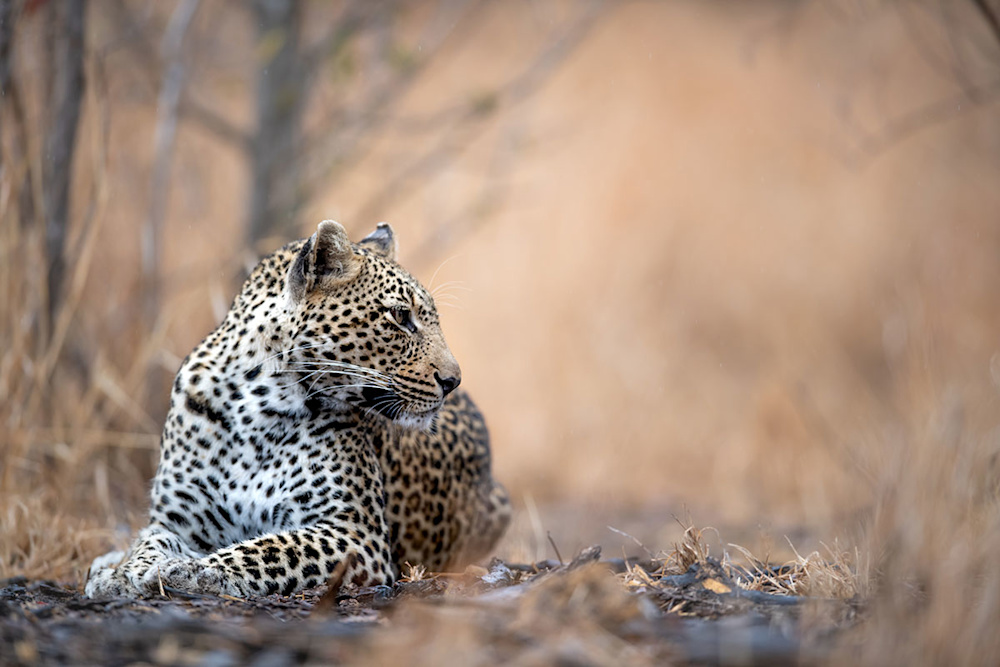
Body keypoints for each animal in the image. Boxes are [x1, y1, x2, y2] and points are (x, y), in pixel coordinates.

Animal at [85, 220, 510, 599]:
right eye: (400, 317)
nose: (453, 381)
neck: (253, 406)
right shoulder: (176, 522)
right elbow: (149, 544)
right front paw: (122, 575)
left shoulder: (357, 532)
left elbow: (269, 550)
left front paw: (192, 570)